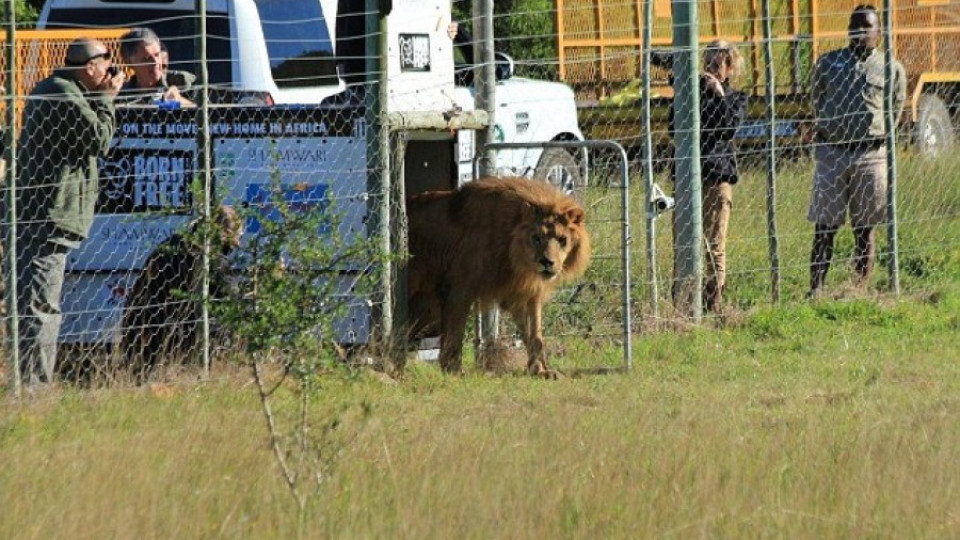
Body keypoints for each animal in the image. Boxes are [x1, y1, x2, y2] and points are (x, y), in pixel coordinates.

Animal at [406, 175, 588, 378]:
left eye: (562, 239)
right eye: (536, 238)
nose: (547, 262)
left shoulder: (524, 293)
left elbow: (534, 335)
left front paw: (540, 370)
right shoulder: (459, 288)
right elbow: (454, 333)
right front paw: (454, 370)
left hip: (427, 305)